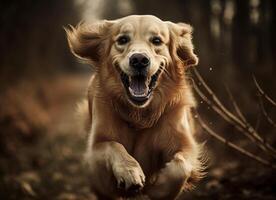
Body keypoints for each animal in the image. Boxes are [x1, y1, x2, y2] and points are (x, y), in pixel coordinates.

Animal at [66, 14, 205, 199]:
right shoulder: (95, 152)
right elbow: (113, 145)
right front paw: (130, 172)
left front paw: (160, 187)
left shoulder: (186, 144)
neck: (139, 115)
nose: (139, 60)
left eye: (157, 40)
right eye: (123, 39)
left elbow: (181, 166)